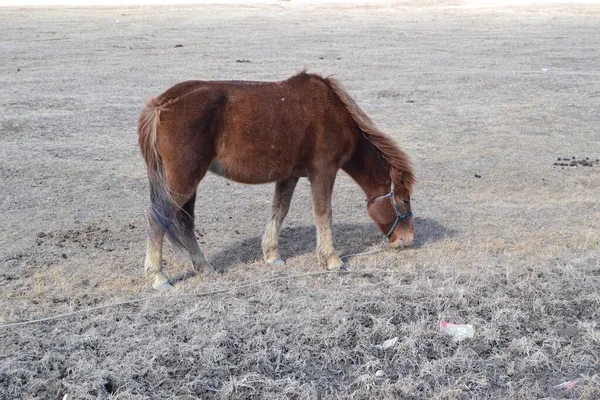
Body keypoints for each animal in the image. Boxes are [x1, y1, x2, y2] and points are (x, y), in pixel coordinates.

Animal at [138, 72, 414, 290]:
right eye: (405, 200)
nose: (408, 239)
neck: (333, 112)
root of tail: (161, 104)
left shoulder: (290, 175)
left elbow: (280, 210)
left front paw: (272, 254)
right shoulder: (323, 171)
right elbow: (323, 213)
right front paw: (332, 260)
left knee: (185, 221)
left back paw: (204, 266)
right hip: (182, 180)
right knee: (157, 219)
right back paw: (159, 277)